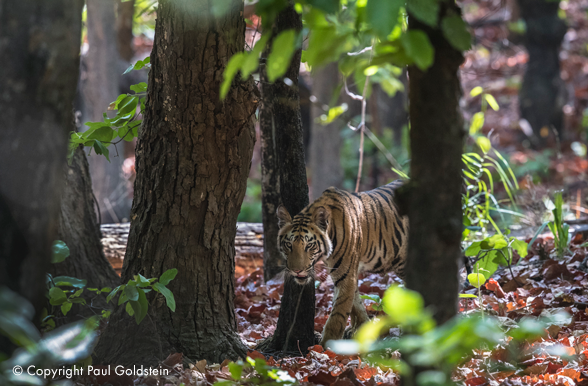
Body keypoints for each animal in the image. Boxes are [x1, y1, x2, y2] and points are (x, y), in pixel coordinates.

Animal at [276, 181, 408, 346]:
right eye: (289, 245)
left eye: (309, 246)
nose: (297, 270)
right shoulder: (346, 274)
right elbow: (356, 304)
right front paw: (364, 330)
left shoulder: (345, 275)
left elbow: (338, 313)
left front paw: (326, 347)